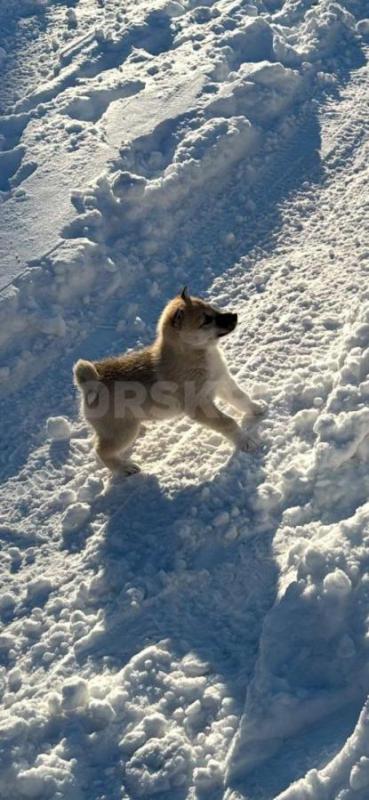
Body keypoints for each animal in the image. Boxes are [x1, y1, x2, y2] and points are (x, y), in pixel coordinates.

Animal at [73, 290, 264, 472]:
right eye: (206, 320)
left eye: (212, 309)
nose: (235, 315)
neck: (194, 354)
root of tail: (92, 383)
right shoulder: (201, 406)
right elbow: (228, 423)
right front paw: (245, 441)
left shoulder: (223, 382)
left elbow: (241, 398)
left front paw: (257, 409)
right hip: (122, 432)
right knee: (101, 451)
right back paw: (124, 468)